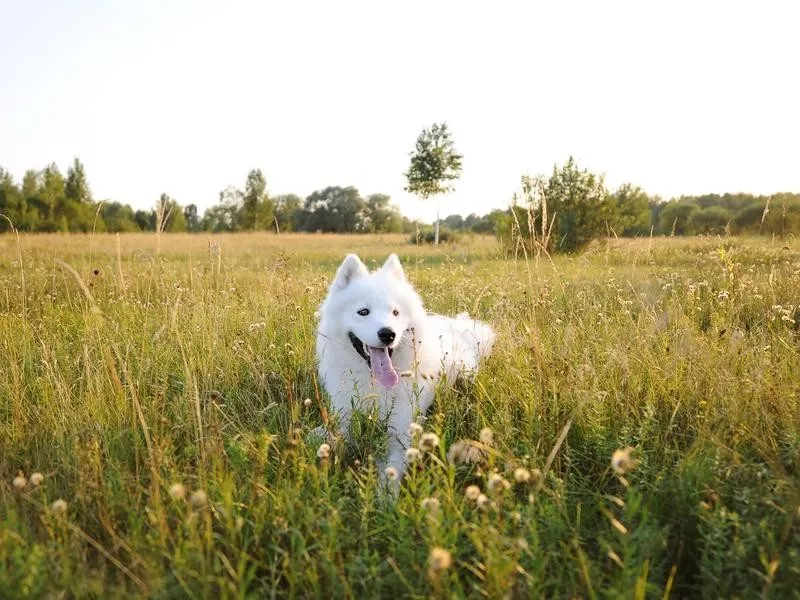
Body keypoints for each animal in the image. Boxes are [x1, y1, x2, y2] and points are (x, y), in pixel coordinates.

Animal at [314, 253, 494, 482]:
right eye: (363, 312)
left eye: (395, 312)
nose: (387, 334)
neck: (374, 385)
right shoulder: (347, 418)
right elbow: (335, 438)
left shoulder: (401, 434)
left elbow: (389, 473)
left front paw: (383, 492)